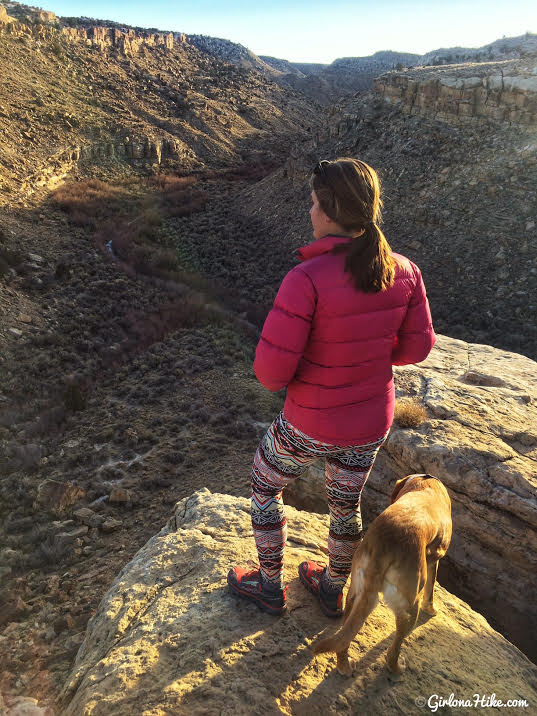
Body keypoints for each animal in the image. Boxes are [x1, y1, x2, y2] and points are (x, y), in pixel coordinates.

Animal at [312, 476, 450, 676]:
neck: (424, 484)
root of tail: (383, 547)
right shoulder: (435, 561)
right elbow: (431, 589)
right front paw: (431, 609)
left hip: (355, 592)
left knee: (345, 634)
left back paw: (344, 666)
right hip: (410, 606)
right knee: (394, 648)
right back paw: (396, 668)